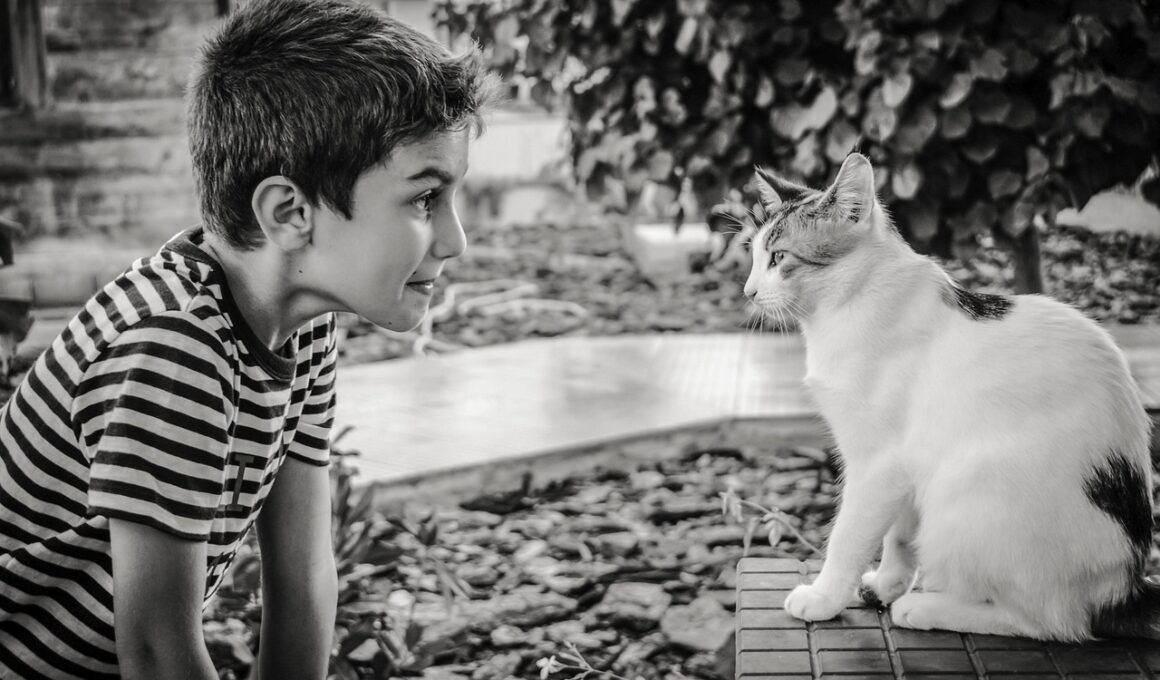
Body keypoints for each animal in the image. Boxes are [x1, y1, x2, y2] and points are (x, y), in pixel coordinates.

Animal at [743, 152, 1155, 641]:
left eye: (779, 257)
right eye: (754, 255)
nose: (748, 292)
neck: (849, 305)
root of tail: (1123, 588)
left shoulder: (876, 464)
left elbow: (847, 537)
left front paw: (825, 598)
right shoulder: (904, 469)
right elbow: (897, 536)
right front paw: (886, 584)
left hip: (965, 493)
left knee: (1050, 621)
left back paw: (927, 609)